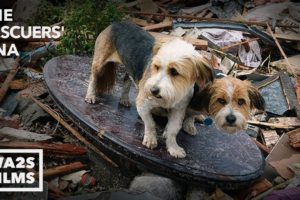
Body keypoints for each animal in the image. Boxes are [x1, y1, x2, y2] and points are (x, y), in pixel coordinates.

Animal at [84, 21, 213, 159]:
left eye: (174, 72)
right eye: (156, 67)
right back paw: (90, 96)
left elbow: (173, 130)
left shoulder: (178, 111)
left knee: (126, 80)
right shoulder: (143, 104)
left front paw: (173, 148)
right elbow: (151, 123)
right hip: (99, 62)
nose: (153, 90)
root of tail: (116, 23)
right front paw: (151, 140)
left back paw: (124, 99)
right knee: (93, 79)